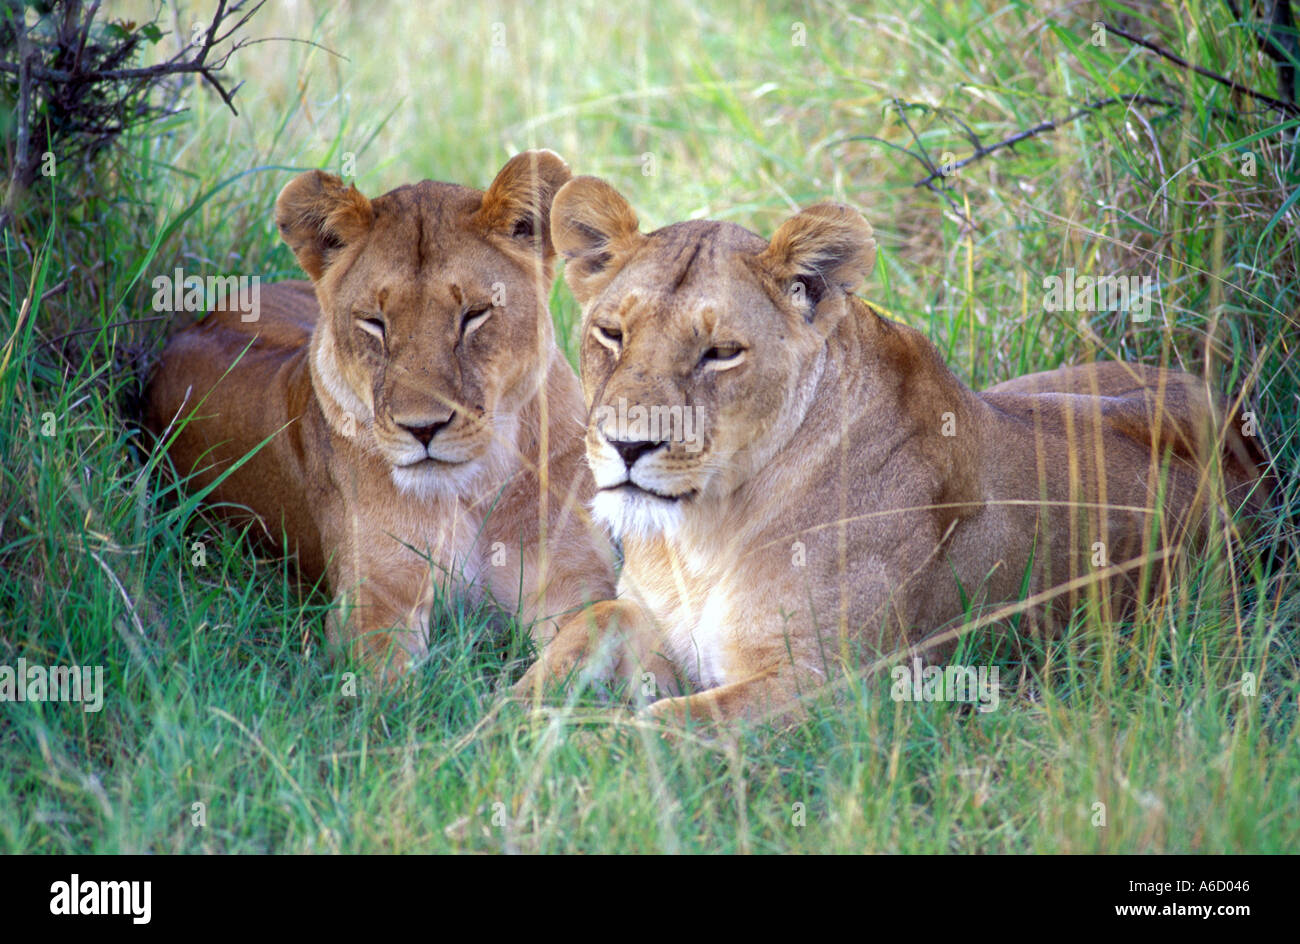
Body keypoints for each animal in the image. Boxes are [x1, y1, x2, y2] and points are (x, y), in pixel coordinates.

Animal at [145, 151, 615, 679]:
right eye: (375, 323)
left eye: (474, 315)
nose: (423, 429)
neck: (471, 487)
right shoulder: (375, 602)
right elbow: (391, 688)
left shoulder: (574, 582)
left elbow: (581, 644)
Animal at [515, 174, 1271, 723]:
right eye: (612, 333)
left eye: (721, 352)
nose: (627, 443)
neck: (701, 532)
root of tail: (1237, 424)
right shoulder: (652, 616)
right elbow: (590, 624)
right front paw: (502, 723)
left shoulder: (832, 685)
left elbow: (663, 727)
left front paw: (577, 745)